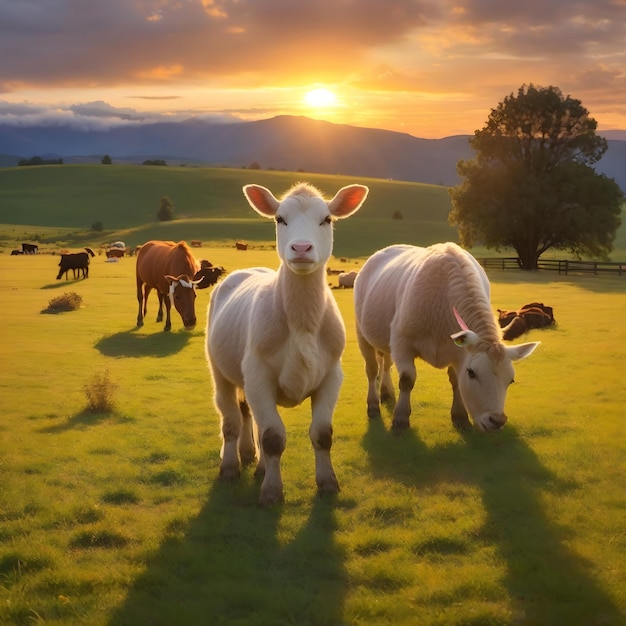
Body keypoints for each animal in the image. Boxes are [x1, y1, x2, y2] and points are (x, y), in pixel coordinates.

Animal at [207, 180, 368, 502]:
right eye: (280, 219)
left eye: (327, 219)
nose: (302, 248)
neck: (302, 323)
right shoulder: (258, 374)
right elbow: (272, 437)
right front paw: (271, 492)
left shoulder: (331, 375)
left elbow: (322, 434)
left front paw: (327, 483)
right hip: (220, 369)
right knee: (230, 418)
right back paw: (231, 466)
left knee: (248, 413)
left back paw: (251, 458)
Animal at [352, 243, 536, 428]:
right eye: (472, 373)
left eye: (511, 380)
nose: (497, 420)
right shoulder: (401, 342)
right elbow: (407, 379)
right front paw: (401, 418)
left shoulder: (458, 352)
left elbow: (456, 381)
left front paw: (460, 415)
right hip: (362, 333)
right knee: (372, 369)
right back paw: (373, 405)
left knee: (386, 363)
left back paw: (387, 392)